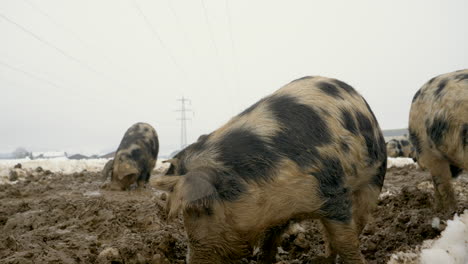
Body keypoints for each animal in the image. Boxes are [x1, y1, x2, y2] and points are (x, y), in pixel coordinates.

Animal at [152, 75, 386, 262]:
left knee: (358, 221)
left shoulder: (334, 191)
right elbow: (268, 243)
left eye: (202, 210)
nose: (191, 261)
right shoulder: (274, 213)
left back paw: (320, 260)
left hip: (375, 177)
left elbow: (345, 242)